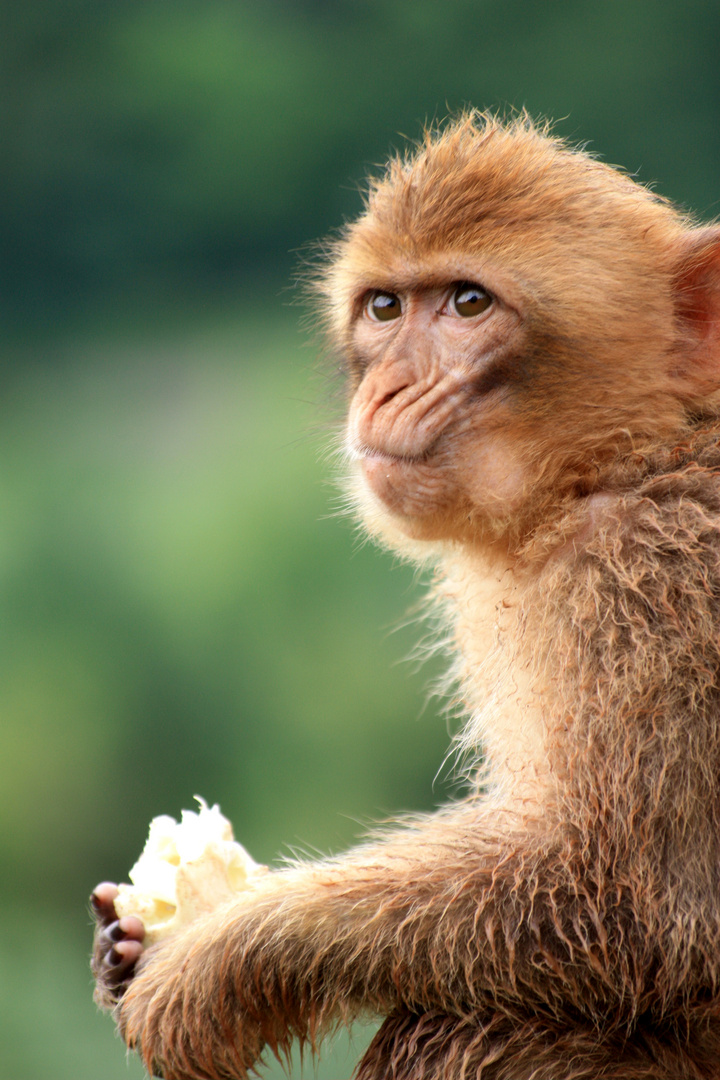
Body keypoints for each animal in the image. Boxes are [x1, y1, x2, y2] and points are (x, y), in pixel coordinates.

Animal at [91, 113, 720, 1075]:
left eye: (468, 304)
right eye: (385, 308)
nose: (386, 388)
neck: (623, 464)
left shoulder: (651, 588)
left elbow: (630, 903)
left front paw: (212, 962)